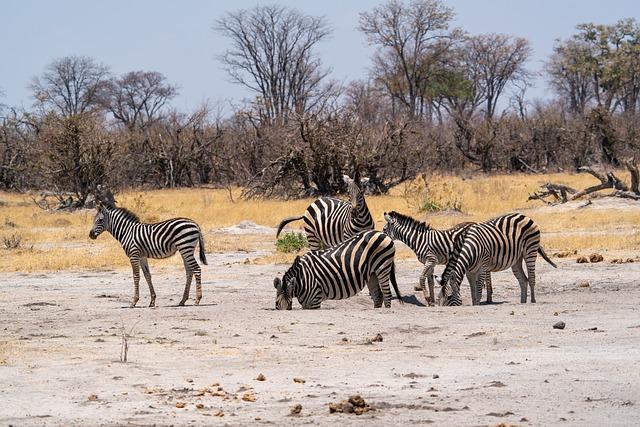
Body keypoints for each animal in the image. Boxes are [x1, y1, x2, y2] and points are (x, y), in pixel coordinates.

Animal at [274, 231, 402, 310]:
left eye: (290, 304)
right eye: (276, 304)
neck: (303, 279)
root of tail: (381, 233)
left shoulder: (315, 300)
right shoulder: (306, 303)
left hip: (383, 266)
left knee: (387, 294)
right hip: (372, 274)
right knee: (378, 295)